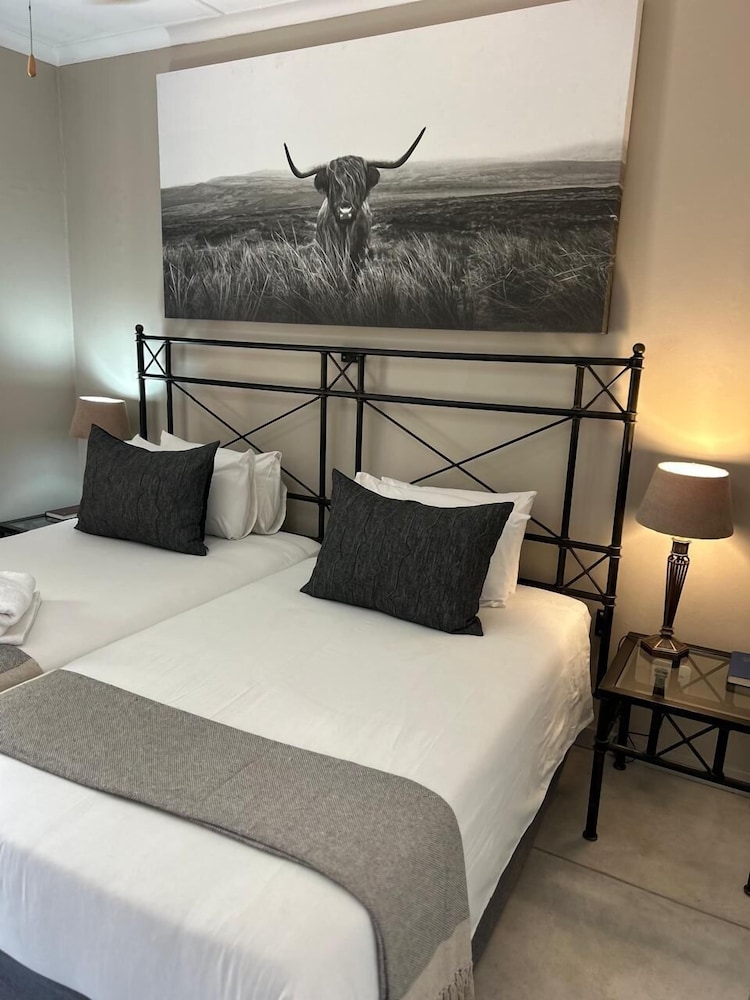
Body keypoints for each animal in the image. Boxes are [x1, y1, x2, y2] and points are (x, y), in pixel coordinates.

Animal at [283, 128, 426, 278]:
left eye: (358, 182)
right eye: (334, 183)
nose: (345, 210)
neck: (345, 230)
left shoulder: (360, 250)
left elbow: (353, 273)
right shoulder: (329, 249)